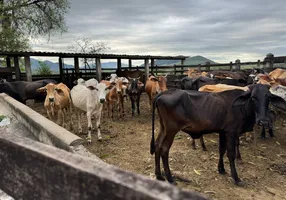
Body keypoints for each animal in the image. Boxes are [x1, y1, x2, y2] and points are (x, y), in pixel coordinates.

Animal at [150, 84, 286, 186]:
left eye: (269, 98)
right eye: (253, 98)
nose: (263, 121)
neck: (242, 107)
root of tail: (164, 93)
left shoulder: (223, 131)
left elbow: (222, 150)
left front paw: (221, 169)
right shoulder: (231, 132)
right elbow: (231, 154)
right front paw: (236, 178)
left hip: (163, 128)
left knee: (157, 146)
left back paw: (159, 175)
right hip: (171, 130)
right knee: (164, 149)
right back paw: (170, 178)